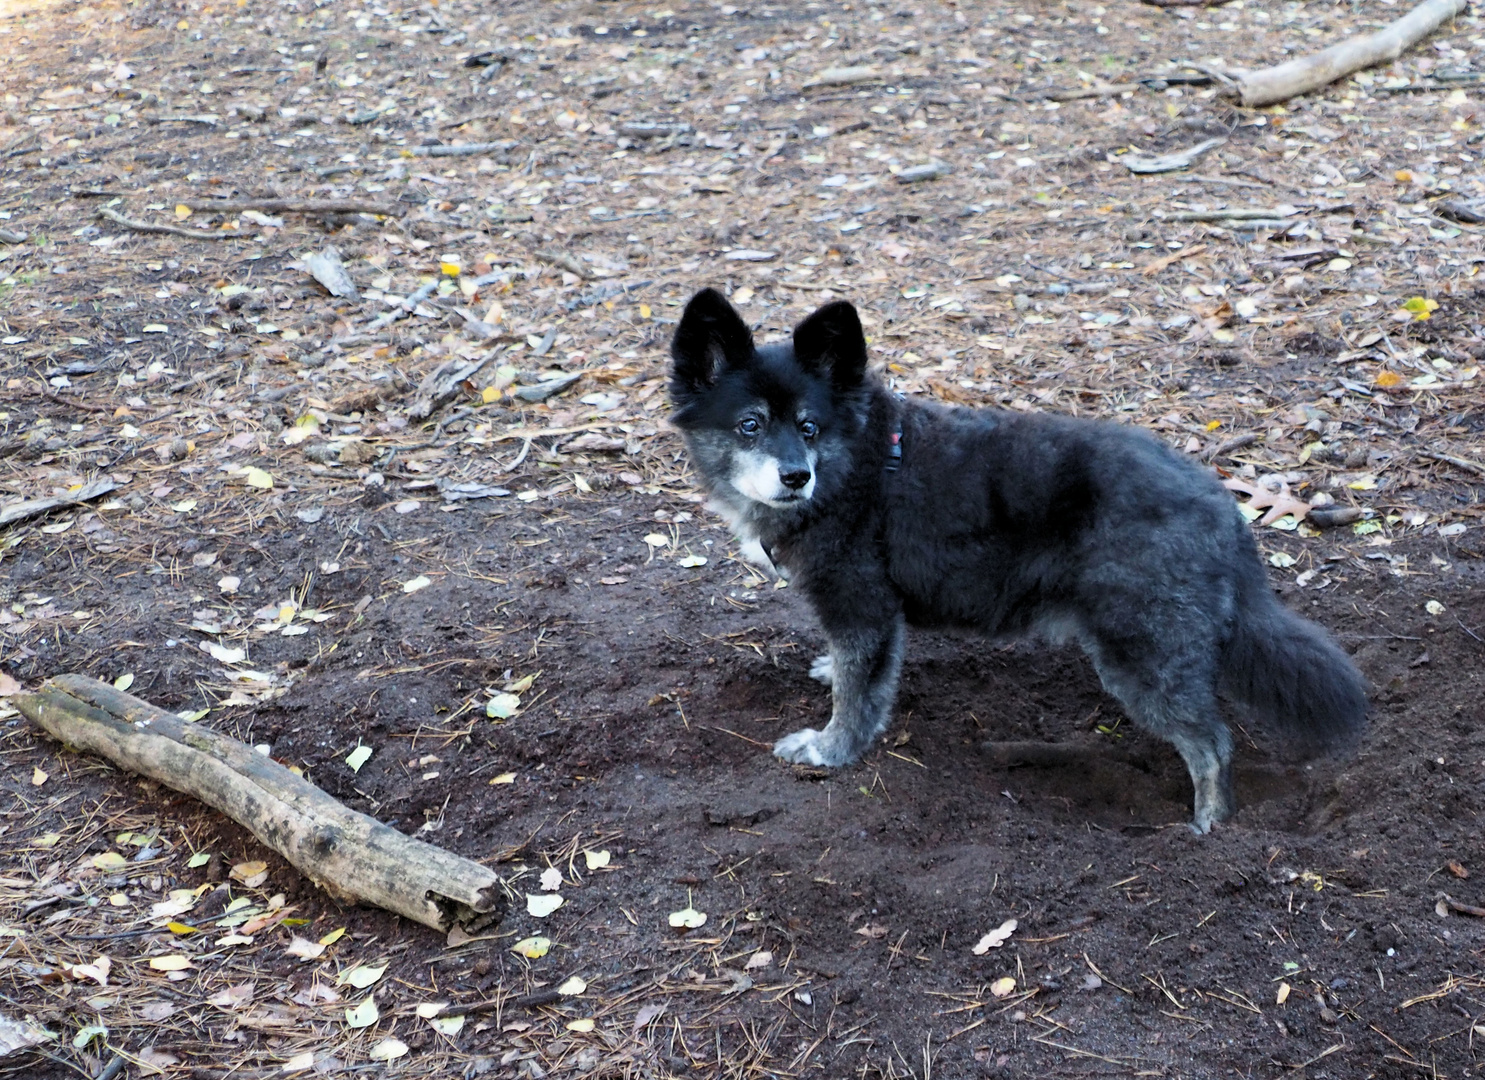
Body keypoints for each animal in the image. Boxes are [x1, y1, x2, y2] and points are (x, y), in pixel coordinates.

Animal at [674, 283, 1366, 831]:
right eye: (750, 425)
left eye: (809, 426)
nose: (795, 476)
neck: (856, 467)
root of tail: (1220, 504)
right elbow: (857, 674)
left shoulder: (861, 607)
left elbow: (858, 695)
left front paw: (831, 750)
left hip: (1141, 655)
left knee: (1213, 746)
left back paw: (1208, 830)